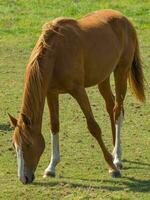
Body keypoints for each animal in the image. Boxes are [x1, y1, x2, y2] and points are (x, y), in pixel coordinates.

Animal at [8, 9, 145, 184]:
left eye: (28, 145)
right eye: (14, 145)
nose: (23, 178)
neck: (56, 53)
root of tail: (124, 19)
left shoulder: (78, 91)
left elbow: (93, 127)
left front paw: (112, 168)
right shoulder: (51, 93)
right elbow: (54, 126)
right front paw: (51, 168)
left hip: (121, 71)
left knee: (117, 110)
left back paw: (117, 158)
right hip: (103, 78)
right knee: (111, 107)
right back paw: (116, 150)